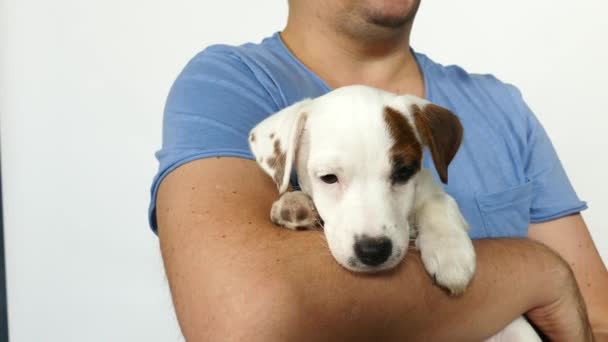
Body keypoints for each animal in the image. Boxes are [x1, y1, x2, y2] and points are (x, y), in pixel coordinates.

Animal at [249, 85, 540, 342]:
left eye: (403, 172)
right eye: (329, 178)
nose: (374, 251)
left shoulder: (428, 187)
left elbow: (437, 203)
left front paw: (450, 253)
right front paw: (294, 203)